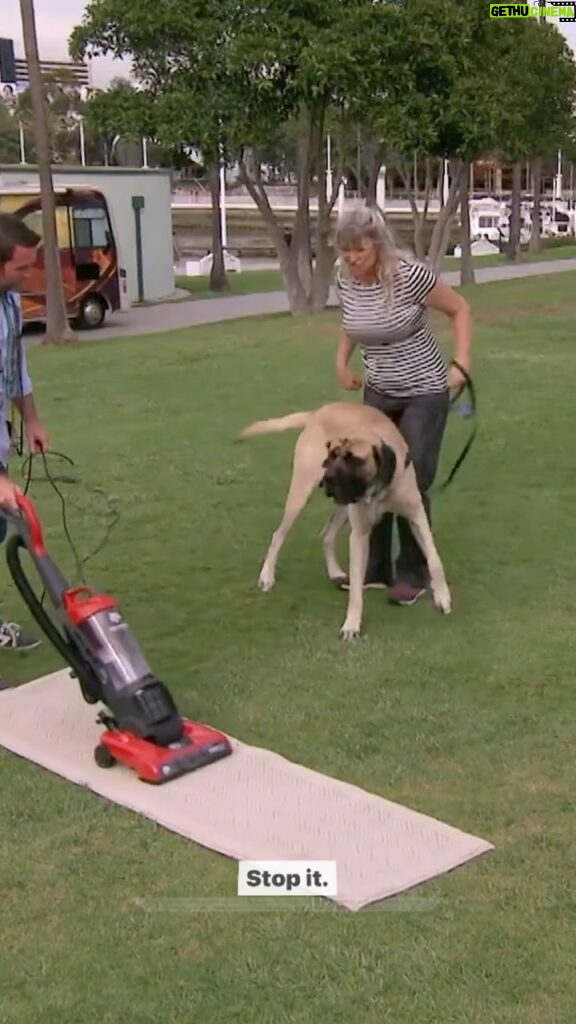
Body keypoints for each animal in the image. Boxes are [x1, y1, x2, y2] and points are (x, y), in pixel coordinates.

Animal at [235, 401, 450, 634]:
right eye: (332, 454)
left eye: (353, 459)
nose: (327, 476)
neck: (378, 488)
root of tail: (318, 412)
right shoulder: (359, 534)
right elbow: (356, 588)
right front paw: (352, 624)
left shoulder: (416, 515)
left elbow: (434, 558)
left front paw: (443, 596)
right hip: (301, 494)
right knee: (279, 534)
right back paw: (267, 576)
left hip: (343, 507)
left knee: (327, 535)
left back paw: (335, 572)